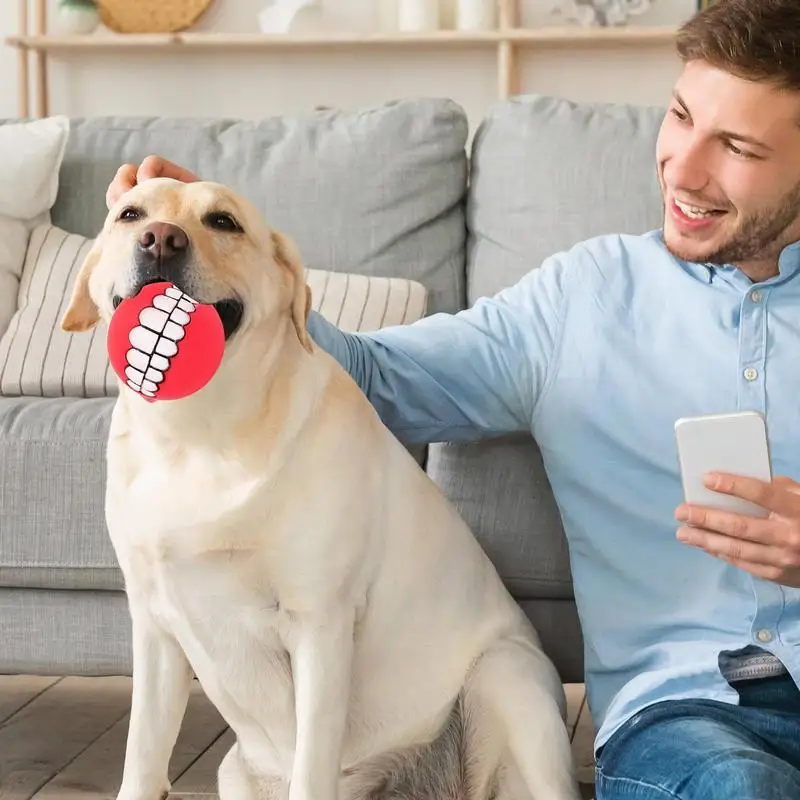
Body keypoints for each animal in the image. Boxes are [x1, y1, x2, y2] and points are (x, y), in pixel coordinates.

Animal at [59, 180, 580, 800]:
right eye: (129, 213)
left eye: (223, 221)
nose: (160, 239)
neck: (197, 435)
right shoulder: (155, 628)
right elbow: (141, 757)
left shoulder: (319, 626)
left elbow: (311, 768)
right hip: (234, 770)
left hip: (508, 677)